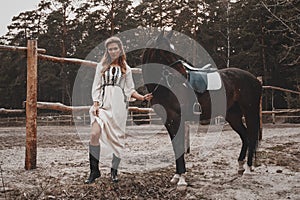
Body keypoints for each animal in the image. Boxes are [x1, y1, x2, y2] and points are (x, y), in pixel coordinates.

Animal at [142, 30, 262, 186]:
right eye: (164, 51)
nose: (182, 74)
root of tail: (255, 80)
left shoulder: (176, 119)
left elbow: (179, 146)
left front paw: (182, 179)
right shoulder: (169, 121)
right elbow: (175, 146)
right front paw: (176, 176)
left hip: (250, 112)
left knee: (251, 137)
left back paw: (247, 169)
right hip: (234, 116)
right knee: (245, 135)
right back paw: (241, 166)